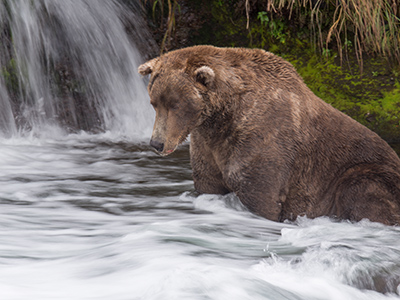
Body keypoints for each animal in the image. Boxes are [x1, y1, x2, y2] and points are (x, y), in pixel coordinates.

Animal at [138, 45, 400, 225]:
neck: (223, 118)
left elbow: (260, 195)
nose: (157, 143)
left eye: (175, 105)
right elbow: (208, 183)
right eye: (154, 103)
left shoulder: (263, 141)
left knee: (361, 190)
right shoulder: (208, 145)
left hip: (366, 172)